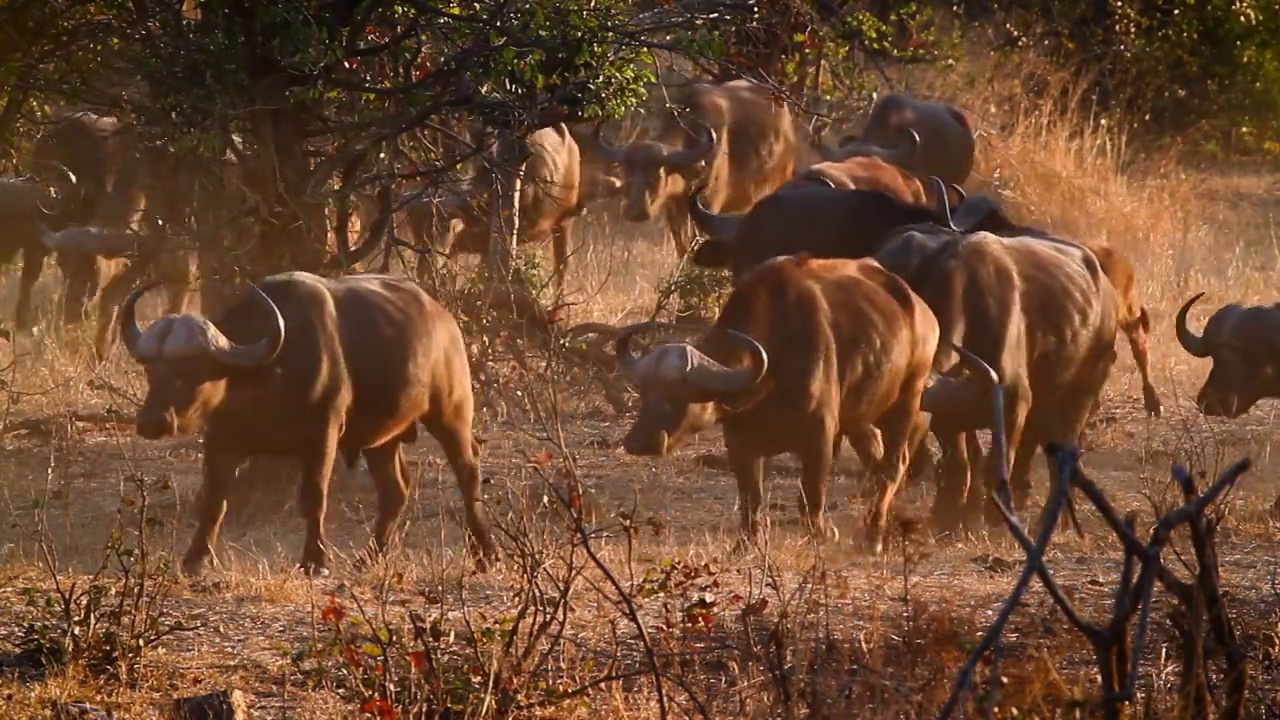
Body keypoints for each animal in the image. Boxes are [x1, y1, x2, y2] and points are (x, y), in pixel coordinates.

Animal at [120, 271, 496, 573]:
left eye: (190, 371)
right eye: (150, 370)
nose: (150, 422)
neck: (264, 379)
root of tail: (442, 317)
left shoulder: (323, 435)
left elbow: (313, 496)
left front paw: (316, 560)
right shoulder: (221, 440)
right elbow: (213, 499)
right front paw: (195, 559)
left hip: (451, 412)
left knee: (468, 472)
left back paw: (485, 553)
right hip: (382, 438)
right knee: (395, 490)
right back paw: (368, 558)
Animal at [591, 78, 793, 256]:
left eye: (656, 175)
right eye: (626, 172)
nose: (635, 211)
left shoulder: (708, 204)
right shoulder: (675, 208)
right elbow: (682, 248)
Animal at [609, 252, 942, 556]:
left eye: (680, 394)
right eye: (646, 392)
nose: (639, 442)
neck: (767, 380)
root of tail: (922, 311)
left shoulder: (819, 436)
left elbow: (812, 492)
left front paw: (822, 534)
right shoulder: (740, 442)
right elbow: (751, 497)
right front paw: (746, 544)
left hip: (908, 398)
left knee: (892, 466)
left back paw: (873, 537)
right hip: (860, 416)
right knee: (875, 460)